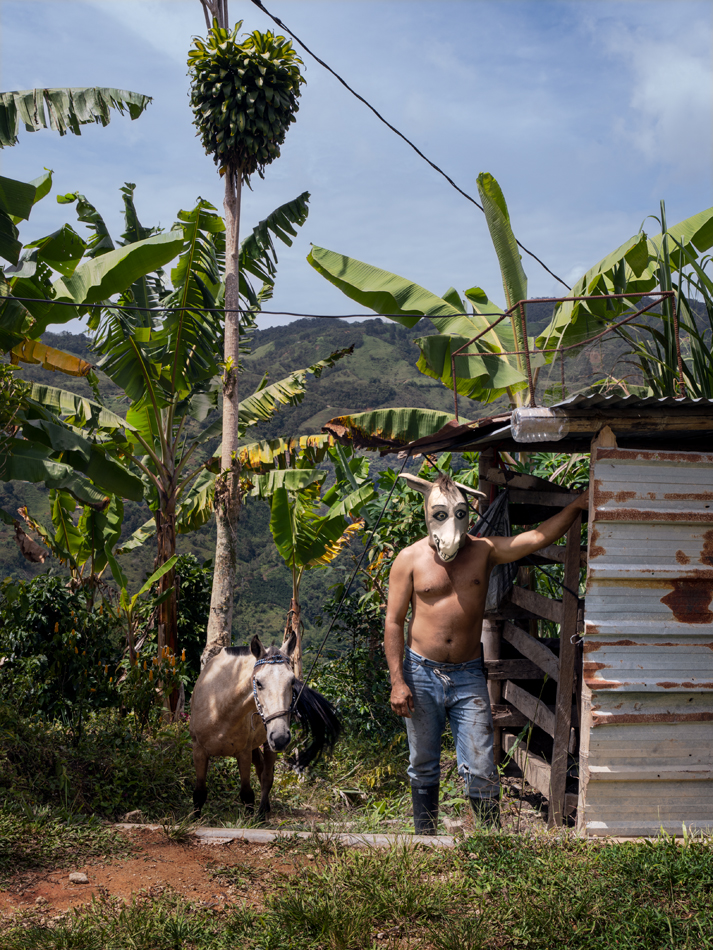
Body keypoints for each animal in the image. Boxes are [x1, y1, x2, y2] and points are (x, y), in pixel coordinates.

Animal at [189, 632, 340, 820]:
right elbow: (199, 792)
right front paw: (195, 819)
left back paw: (262, 812)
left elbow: (247, 793)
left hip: (268, 744)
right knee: (261, 768)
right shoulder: (199, 751)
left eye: (292, 681)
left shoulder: (244, 753)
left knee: (267, 776)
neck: (218, 706)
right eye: (258, 682)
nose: (281, 737)